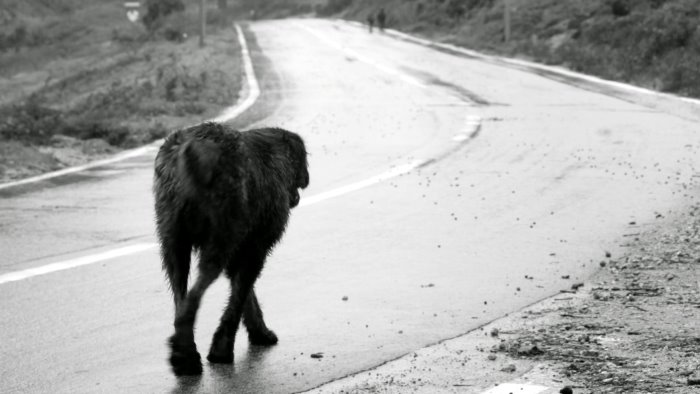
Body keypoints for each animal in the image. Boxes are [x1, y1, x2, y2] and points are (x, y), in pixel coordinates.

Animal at [154, 122, 310, 376]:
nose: (306, 179)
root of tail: (190, 150)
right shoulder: (255, 247)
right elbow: (239, 296)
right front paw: (222, 348)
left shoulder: (243, 248)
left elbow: (244, 294)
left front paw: (259, 331)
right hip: (219, 239)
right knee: (191, 300)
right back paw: (186, 355)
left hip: (174, 243)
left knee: (180, 296)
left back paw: (185, 351)